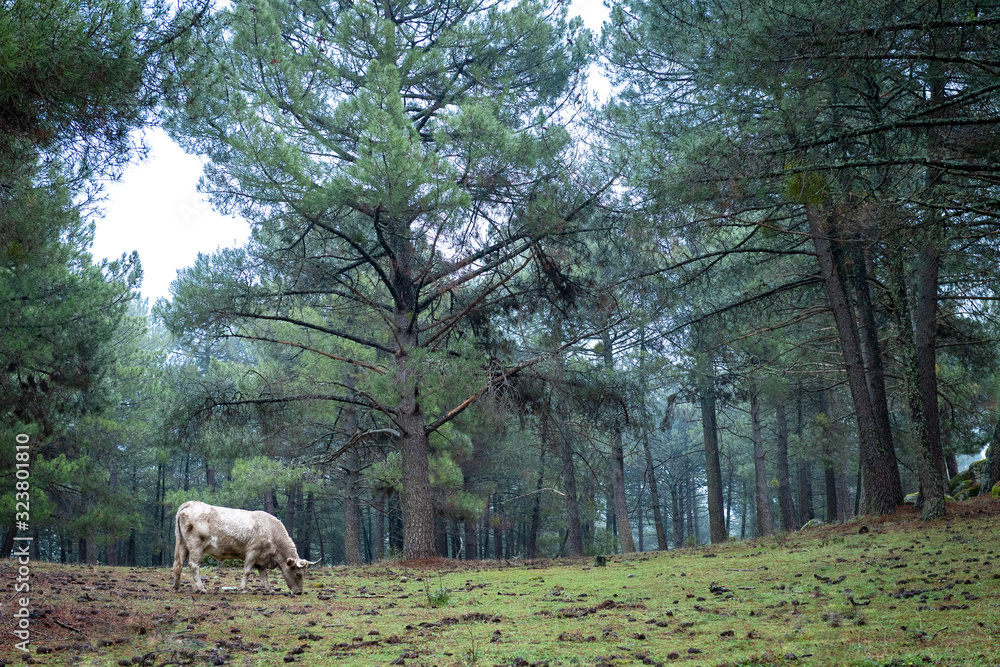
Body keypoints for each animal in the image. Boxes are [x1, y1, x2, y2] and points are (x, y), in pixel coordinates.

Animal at [171, 500, 317, 594]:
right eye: (298, 574)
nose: (299, 592)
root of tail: (192, 503)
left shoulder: (262, 558)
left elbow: (264, 575)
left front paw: (270, 589)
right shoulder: (253, 551)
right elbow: (247, 571)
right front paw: (243, 589)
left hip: (183, 545)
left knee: (178, 564)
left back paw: (177, 587)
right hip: (196, 546)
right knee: (193, 565)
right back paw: (201, 588)